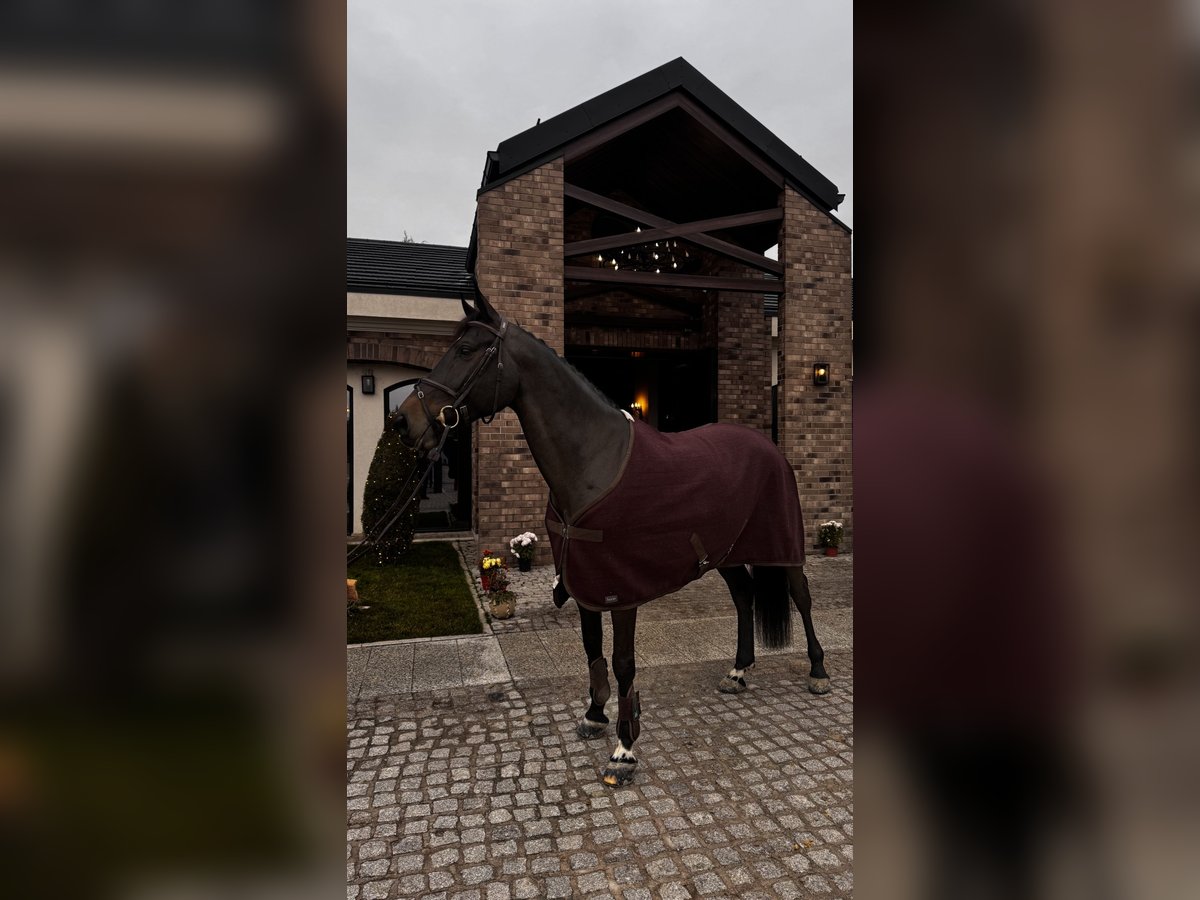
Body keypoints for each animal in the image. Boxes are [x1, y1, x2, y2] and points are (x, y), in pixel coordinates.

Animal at [394, 288, 830, 786]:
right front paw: (594, 715)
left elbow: (623, 662)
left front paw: (624, 750)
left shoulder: (621, 590)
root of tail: (771, 448)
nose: (402, 422)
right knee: (744, 597)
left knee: (801, 596)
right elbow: (592, 650)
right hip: (727, 554)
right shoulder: (586, 582)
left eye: (465, 350)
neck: (592, 461)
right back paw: (737, 672)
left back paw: (818, 671)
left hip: (783, 547)